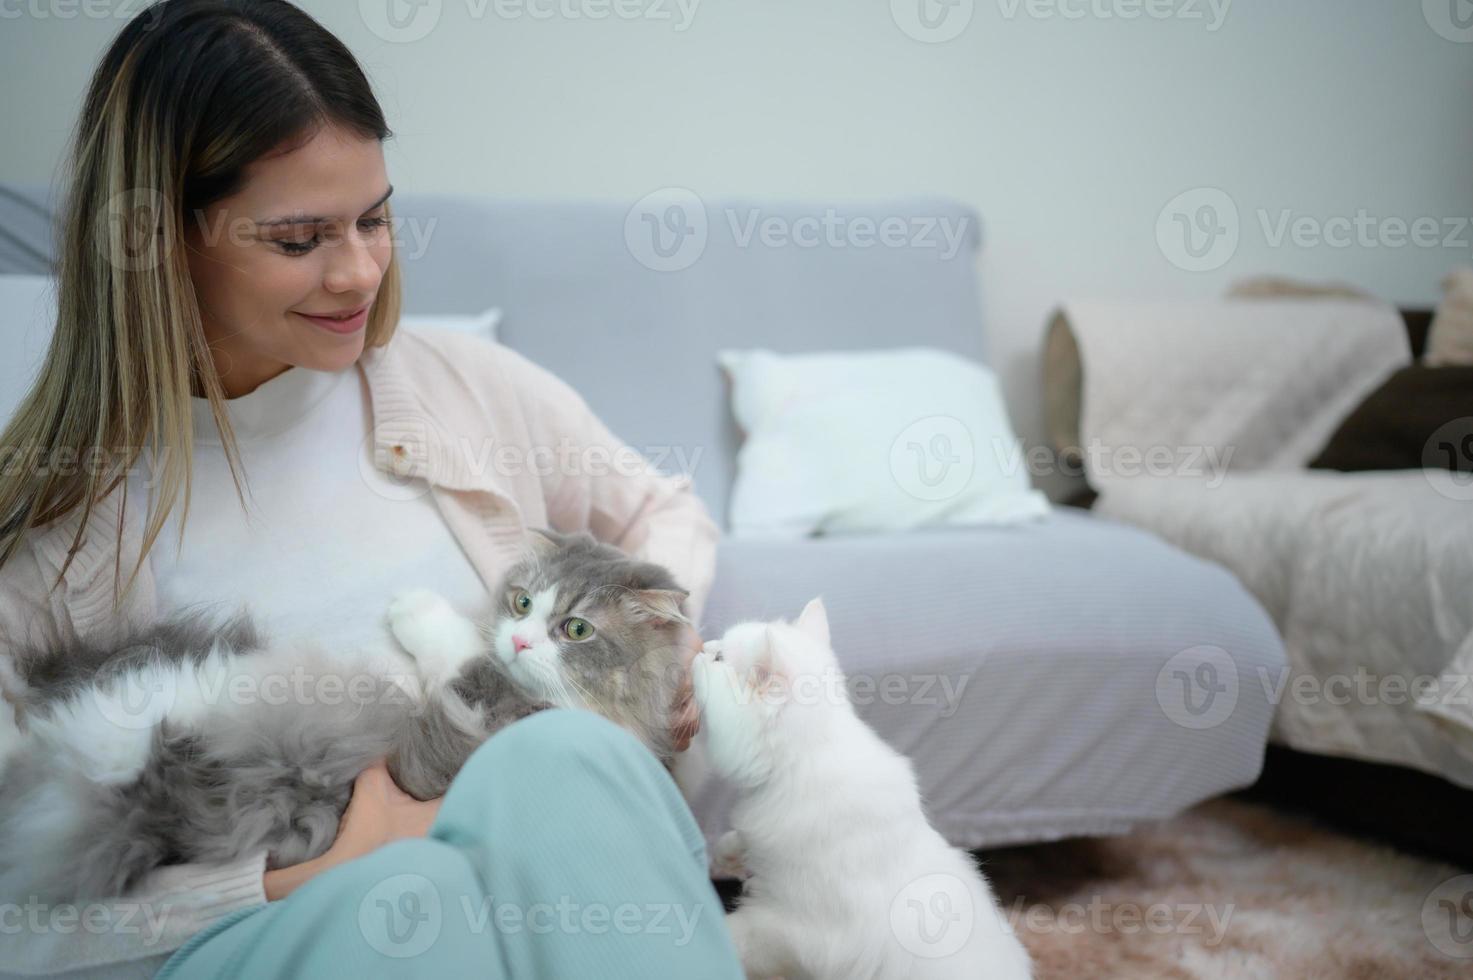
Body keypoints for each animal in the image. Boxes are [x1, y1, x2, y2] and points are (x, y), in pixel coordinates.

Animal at [0, 527, 695, 901]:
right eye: (522, 602)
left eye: (575, 628)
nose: (521, 641)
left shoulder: (464, 720)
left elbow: (452, 646)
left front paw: (412, 605)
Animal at [692, 595, 1031, 978]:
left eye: (719, 658)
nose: (702, 647)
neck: (804, 761)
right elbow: (738, 840)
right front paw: (729, 853)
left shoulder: (792, 928)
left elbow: (736, 935)